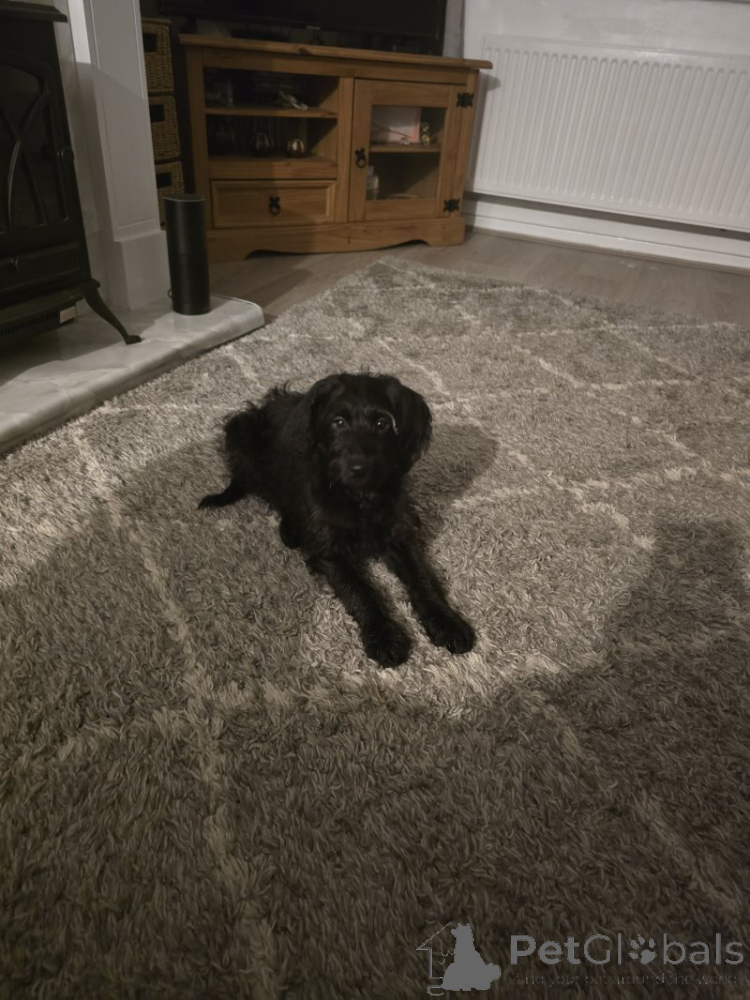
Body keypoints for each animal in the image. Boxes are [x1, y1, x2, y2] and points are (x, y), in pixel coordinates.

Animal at [199, 372, 475, 667]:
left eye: (382, 423)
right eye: (338, 422)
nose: (358, 468)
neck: (359, 498)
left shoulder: (398, 535)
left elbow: (422, 578)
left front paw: (446, 621)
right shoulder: (328, 550)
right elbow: (360, 590)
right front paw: (383, 636)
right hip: (241, 434)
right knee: (273, 494)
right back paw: (291, 529)